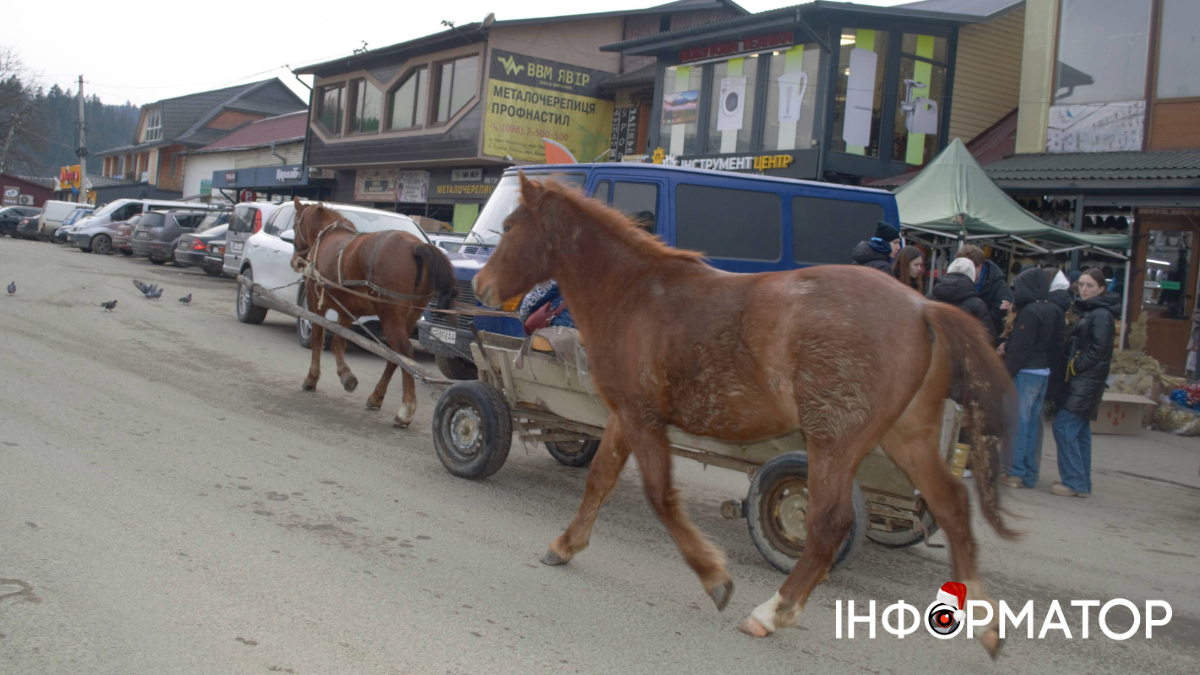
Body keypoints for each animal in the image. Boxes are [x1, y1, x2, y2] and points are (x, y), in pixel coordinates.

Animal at [290, 195, 453, 425]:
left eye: (295, 225)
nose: (295, 260)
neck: (327, 236)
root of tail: (416, 247)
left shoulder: (315, 303)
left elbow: (317, 339)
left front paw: (312, 378)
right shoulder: (345, 311)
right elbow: (339, 342)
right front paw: (346, 376)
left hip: (390, 316)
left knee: (404, 351)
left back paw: (406, 408)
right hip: (409, 316)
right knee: (396, 355)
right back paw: (377, 396)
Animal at [472, 172, 1017, 658]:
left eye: (510, 226)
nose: (479, 284)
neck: (634, 293)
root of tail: (922, 307)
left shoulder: (642, 417)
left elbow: (660, 497)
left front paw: (715, 577)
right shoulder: (624, 414)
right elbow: (600, 478)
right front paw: (566, 544)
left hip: (834, 440)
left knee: (828, 524)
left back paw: (773, 612)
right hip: (906, 436)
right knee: (951, 505)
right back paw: (986, 623)